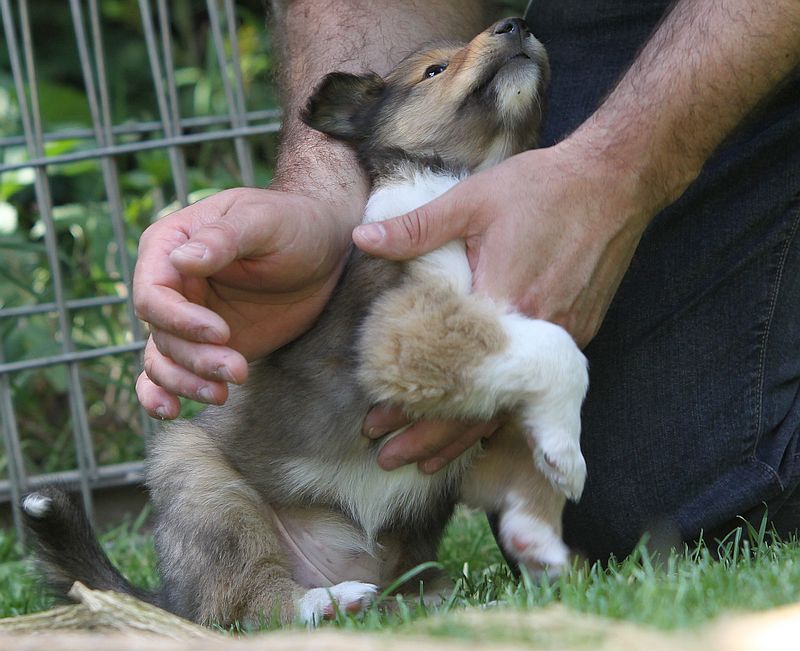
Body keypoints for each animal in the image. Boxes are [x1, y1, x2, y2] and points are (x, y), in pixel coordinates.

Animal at [21, 17, 588, 628]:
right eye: (434, 69)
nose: (516, 23)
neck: (466, 176)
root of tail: (172, 599)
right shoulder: (405, 329)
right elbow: (561, 350)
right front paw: (569, 458)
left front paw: (541, 519)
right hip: (203, 485)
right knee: (249, 604)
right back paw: (329, 600)